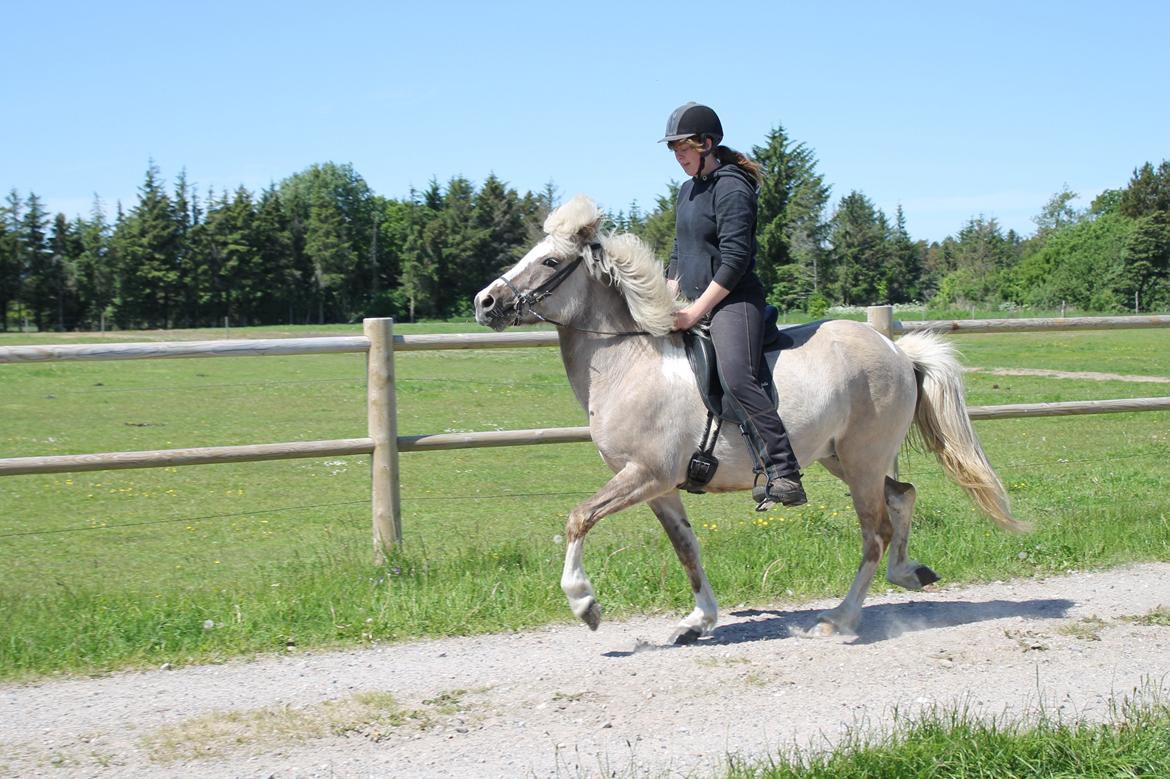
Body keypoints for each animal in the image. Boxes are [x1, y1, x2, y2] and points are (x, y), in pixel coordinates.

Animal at [470, 194, 1020, 640]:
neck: (631, 363)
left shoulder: (645, 474)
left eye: (550, 260)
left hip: (862, 460)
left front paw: (585, 603)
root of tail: (898, 351)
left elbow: (578, 517)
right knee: (902, 496)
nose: (485, 301)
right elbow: (686, 547)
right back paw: (908, 573)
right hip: (839, 458)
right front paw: (698, 621)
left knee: (876, 532)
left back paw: (838, 620)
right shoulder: (660, 487)